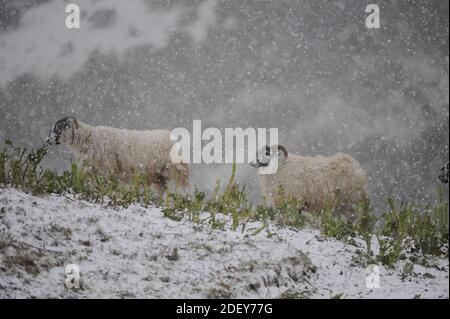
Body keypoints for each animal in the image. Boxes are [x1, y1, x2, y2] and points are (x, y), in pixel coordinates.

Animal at [48, 117, 189, 194]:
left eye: (59, 127)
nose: (47, 140)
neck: (88, 138)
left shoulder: (108, 169)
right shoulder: (93, 169)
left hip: (176, 171)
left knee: (182, 188)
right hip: (158, 175)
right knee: (162, 189)